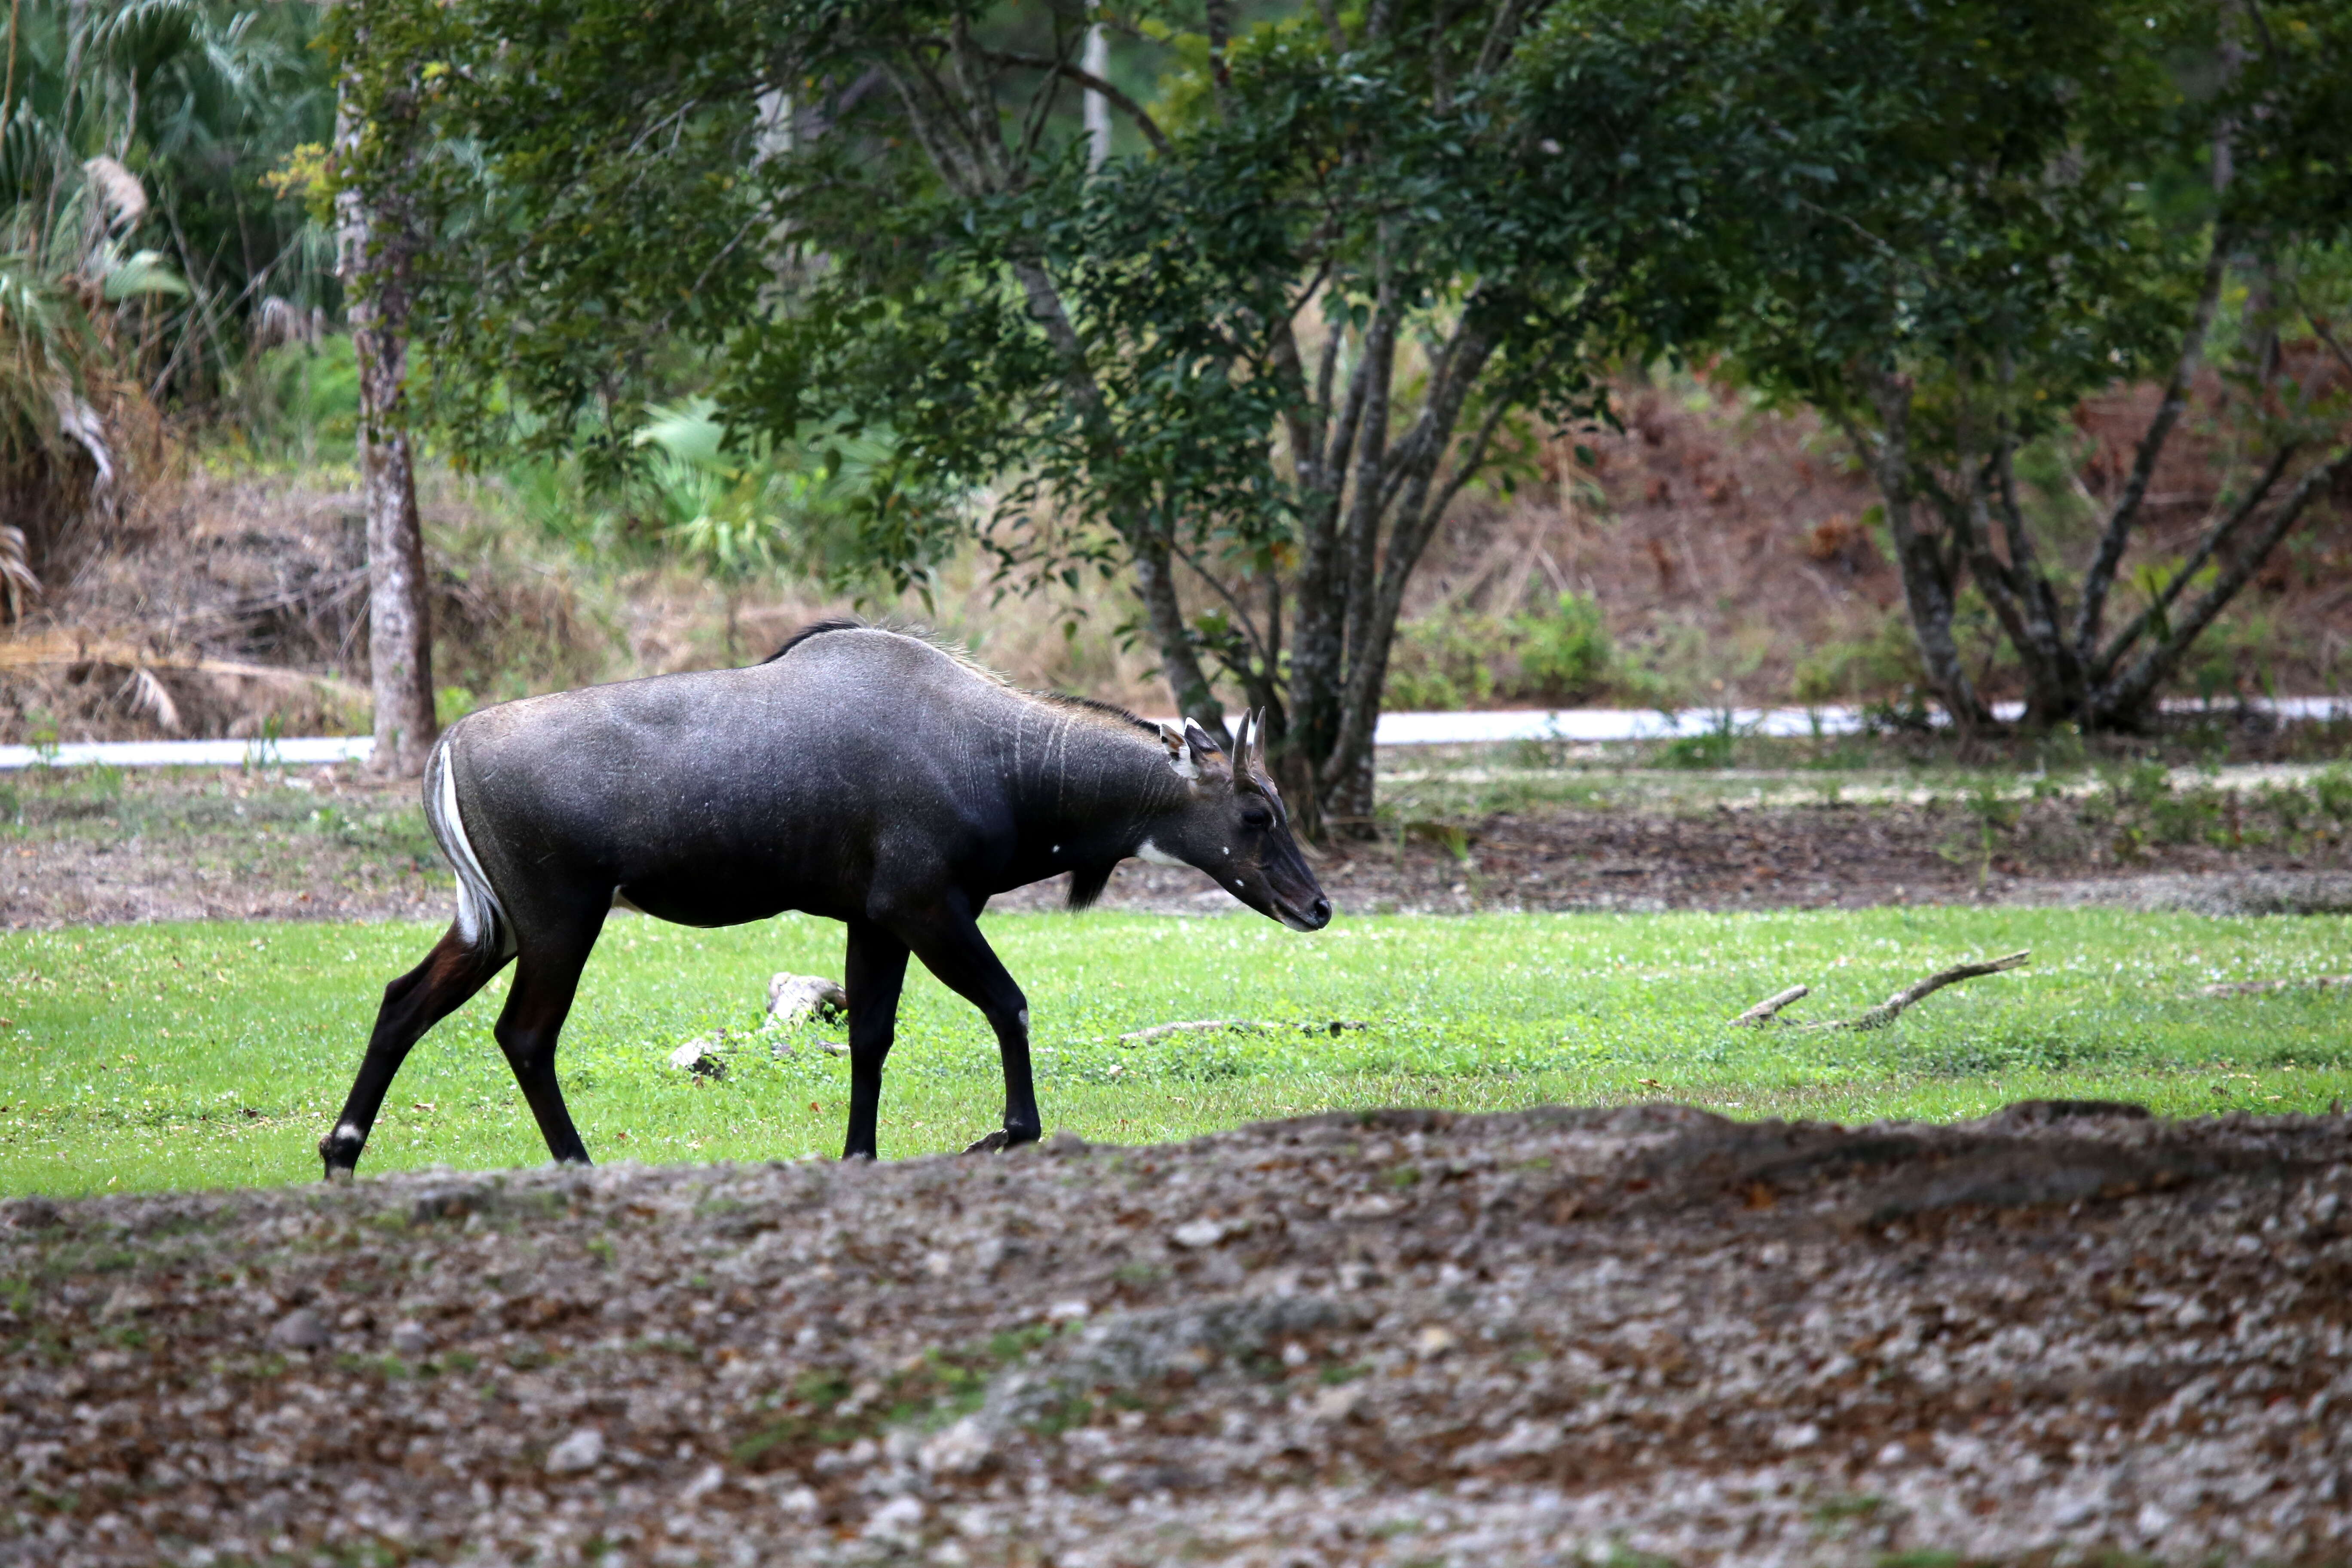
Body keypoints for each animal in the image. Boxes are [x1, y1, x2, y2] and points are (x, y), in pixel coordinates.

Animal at [322, 616, 1336, 1175]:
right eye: (1255, 811)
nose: (1317, 906)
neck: (1004, 762)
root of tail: (450, 745)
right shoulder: (926, 908)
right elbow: (1010, 1004)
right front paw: (1004, 1135)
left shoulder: (873, 920)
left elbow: (871, 1037)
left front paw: (858, 1154)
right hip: (559, 916)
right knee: (525, 1035)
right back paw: (578, 1165)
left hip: (495, 924)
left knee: (402, 1001)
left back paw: (340, 1154)